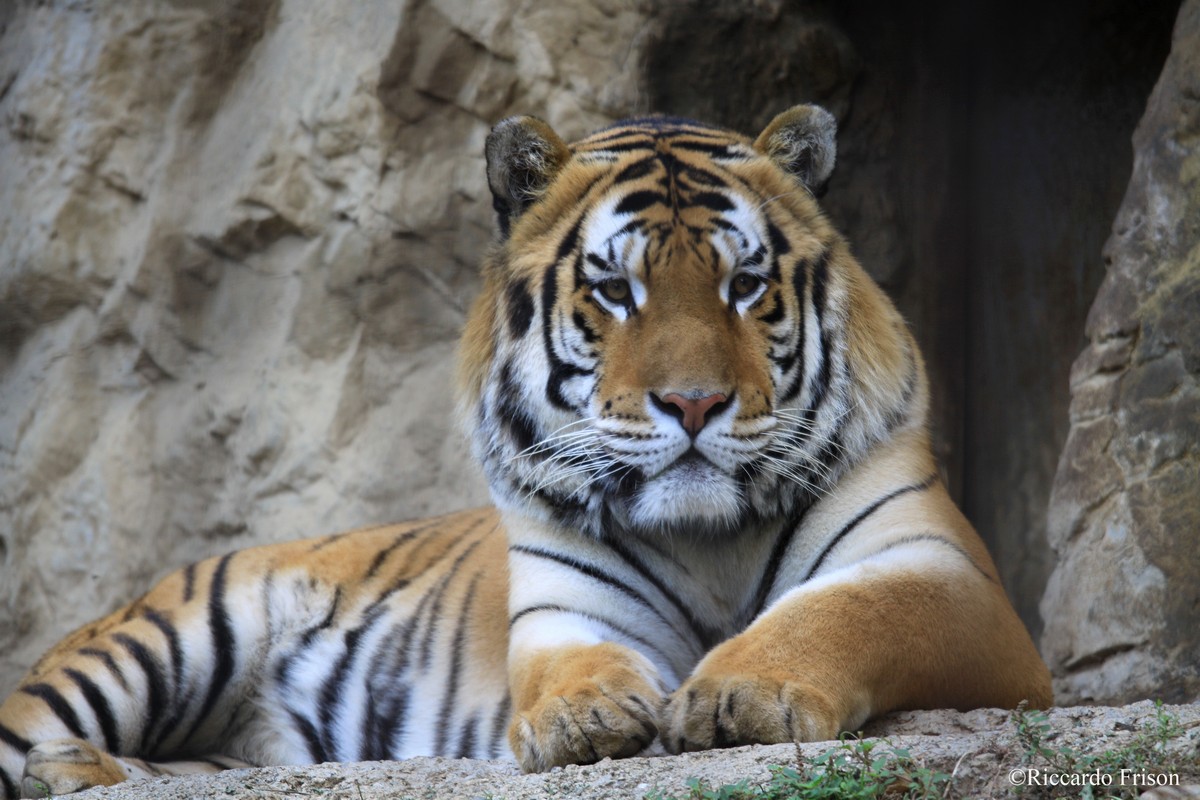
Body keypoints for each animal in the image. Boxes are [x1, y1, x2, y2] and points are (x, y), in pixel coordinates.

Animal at [0, 105, 1052, 798]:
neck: (710, 537)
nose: (695, 402)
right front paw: (584, 718)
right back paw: (71, 767)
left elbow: (850, 610)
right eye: (617, 291)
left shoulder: (944, 575)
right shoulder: (566, 609)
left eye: (746, 285)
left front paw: (741, 690)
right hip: (162, 642)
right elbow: (575, 670)